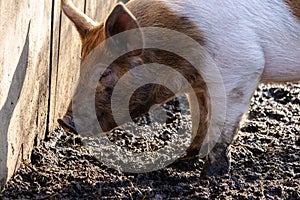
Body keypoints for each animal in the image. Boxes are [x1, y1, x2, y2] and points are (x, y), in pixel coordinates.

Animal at [59, 0, 300, 175]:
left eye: (105, 73)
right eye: (81, 67)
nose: (64, 121)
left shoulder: (242, 68)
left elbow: (221, 124)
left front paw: (210, 174)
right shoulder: (198, 83)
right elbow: (200, 116)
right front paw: (185, 159)